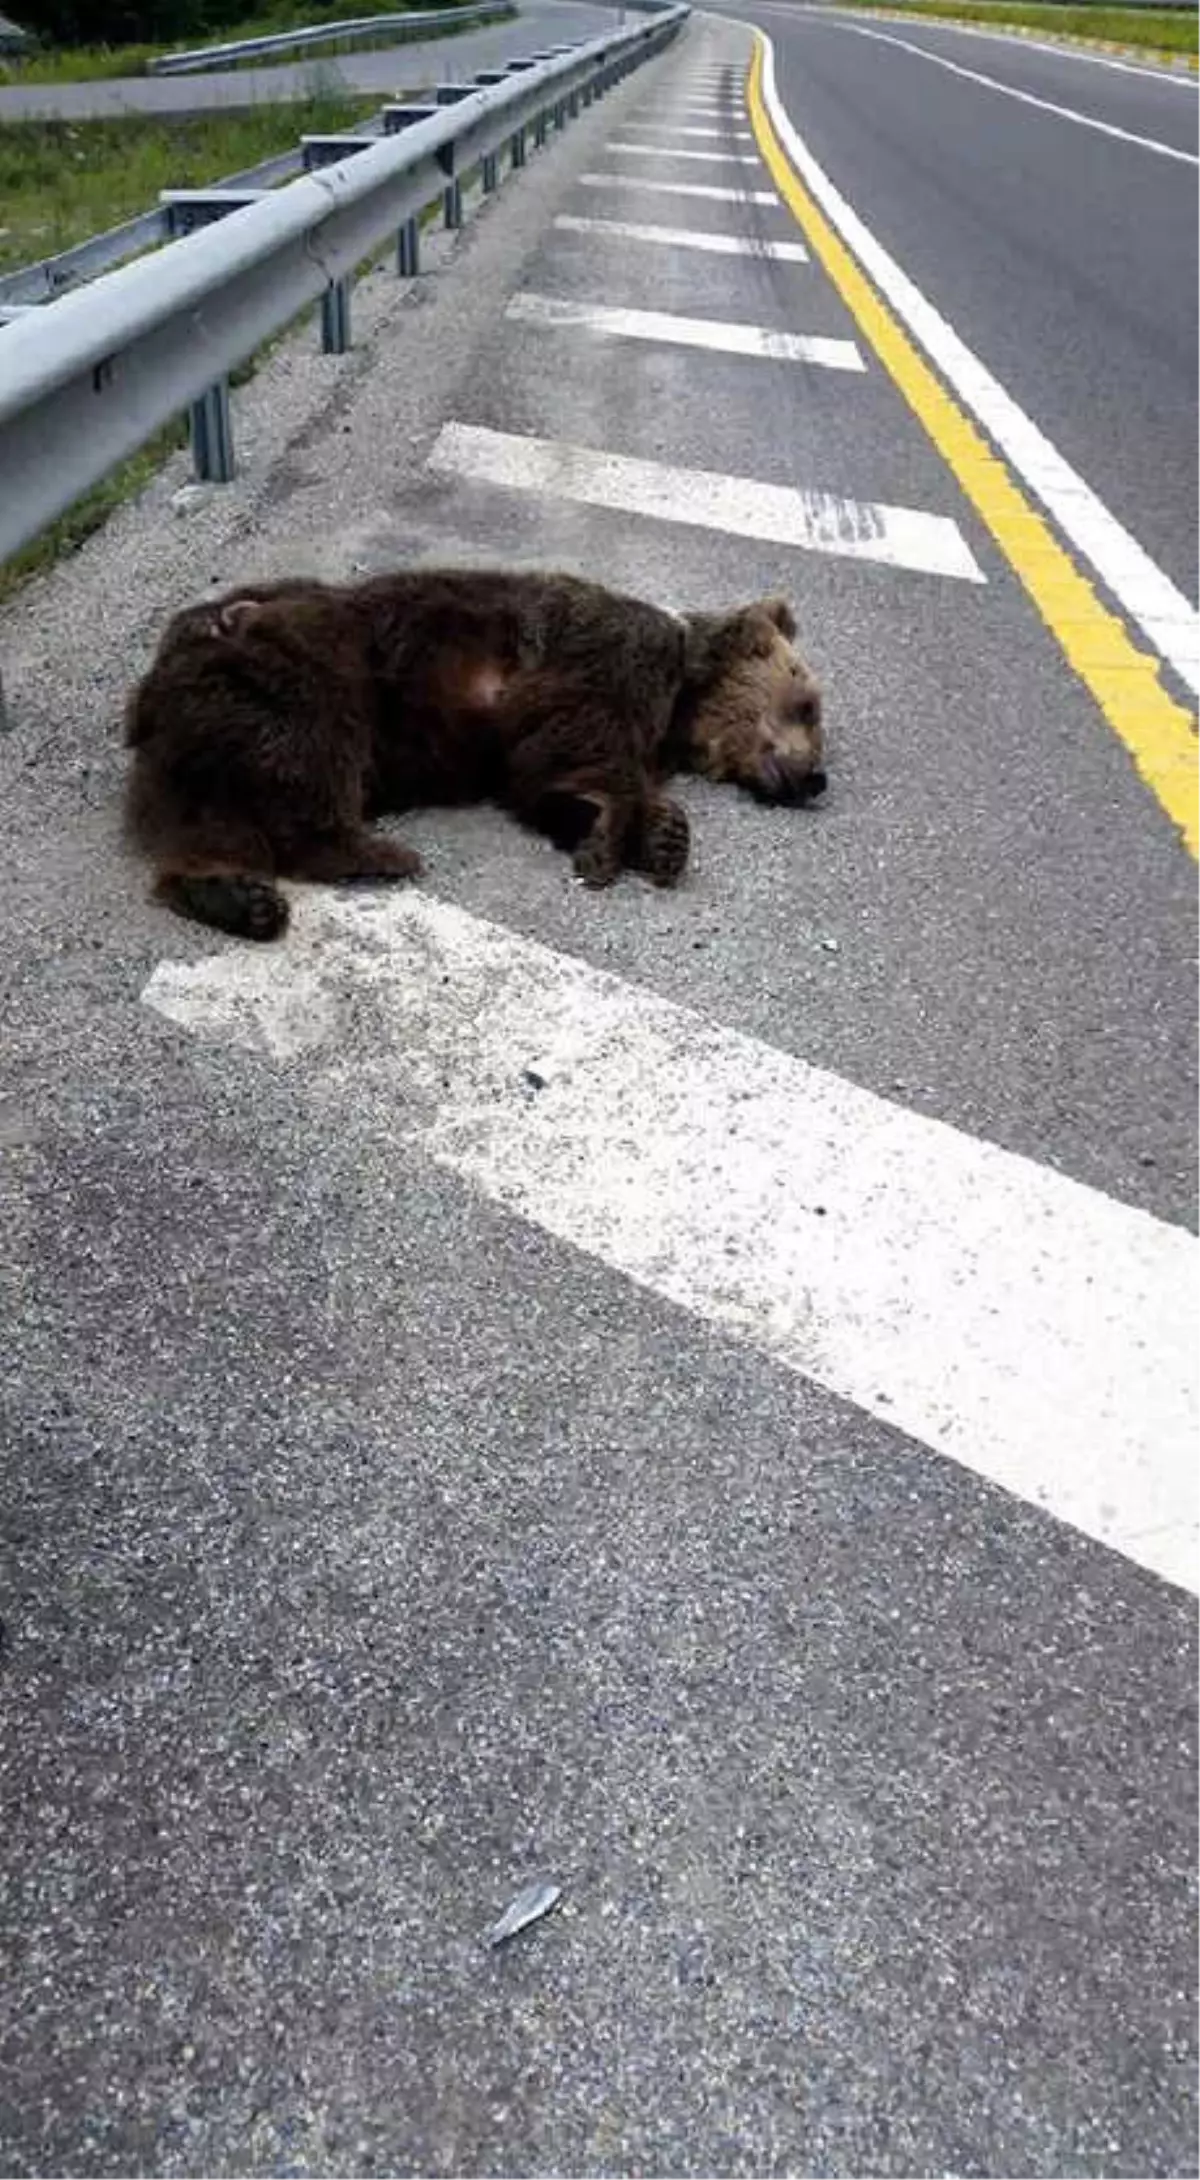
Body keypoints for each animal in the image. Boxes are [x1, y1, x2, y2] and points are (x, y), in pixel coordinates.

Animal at [127, 562, 829, 937]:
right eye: (809, 705)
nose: (816, 778)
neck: (682, 704)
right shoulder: (604, 664)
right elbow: (582, 744)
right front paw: (619, 837)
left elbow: (546, 781)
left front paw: (656, 836)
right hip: (313, 668)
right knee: (313, 760)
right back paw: (377, 854)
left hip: (210, 742)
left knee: (210, 822)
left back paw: (230, 895)